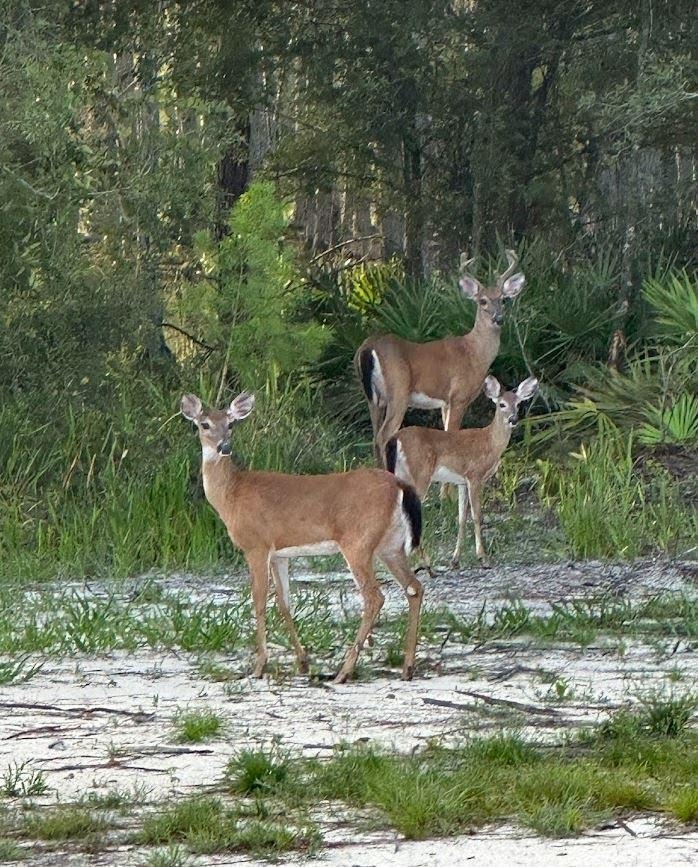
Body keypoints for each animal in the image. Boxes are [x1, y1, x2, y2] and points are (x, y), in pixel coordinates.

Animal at [178, 392, 424, 684]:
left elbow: (259, 600)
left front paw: (259, 666)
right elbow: (284, 603)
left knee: (374, 597)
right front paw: (303, 662)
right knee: (414, 587)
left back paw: (344, 671)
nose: (223, 447)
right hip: (390, 545)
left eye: (231, 424)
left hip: (358, 541)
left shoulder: (256, 545)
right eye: (204, 424)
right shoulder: (279, 554)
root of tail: (400, 485)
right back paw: (407, 667)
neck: (232, 495)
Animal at [356, 251, 524, 468]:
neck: (474, 353)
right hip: (398, 391)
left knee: (374, 436)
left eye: (503, 300)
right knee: (383, 435)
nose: (499, 318)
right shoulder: (458, 396)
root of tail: (368, 349)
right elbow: (452, 436)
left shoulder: (444, 402)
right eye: (483, 301)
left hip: (373, 398)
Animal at [380, 374, 540, 568]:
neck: (490, 442)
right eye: (501, 404)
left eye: (518, 404)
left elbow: (462, 518)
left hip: (401, 473)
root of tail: (395, 440)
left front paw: (455, 559)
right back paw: (423, 560)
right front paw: (483, 557)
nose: (513, 419)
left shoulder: (461, 481)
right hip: (420, 473)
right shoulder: (475, 475)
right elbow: (477, 515)